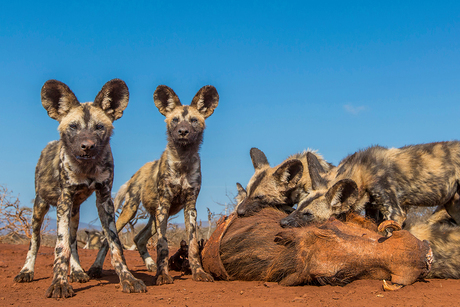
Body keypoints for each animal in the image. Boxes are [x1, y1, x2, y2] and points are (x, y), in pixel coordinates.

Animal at [13, 79, 146, 298]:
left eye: (99, 127)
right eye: (73, 127)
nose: (87, 146)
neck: (87, 168)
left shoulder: (104, 200)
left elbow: (115, 245)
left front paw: (128, 279)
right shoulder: (64, 200)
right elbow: (60, 247)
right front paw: (59, 283)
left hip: (75, 214)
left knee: (74, 241)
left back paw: (77, 271)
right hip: (39, 208)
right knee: (35, 241)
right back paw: (26, 271)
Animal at [90, 85, 220, 286]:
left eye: (193, 120)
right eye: (175, 120)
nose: (183, 131)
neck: (182, 161)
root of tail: (137, 172)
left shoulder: (190, 207)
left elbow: (192, 245)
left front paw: (198, 272)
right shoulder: (164, 204)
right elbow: (163, 245)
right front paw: (163, 276)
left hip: (155, 217)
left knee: (138, 238)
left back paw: (150, 264)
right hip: (133, 210)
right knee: (107, 239)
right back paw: (95, 269)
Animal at [280, 143, 460, 235]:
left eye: (308, 214)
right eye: (299, 207)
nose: (282, 222)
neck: (362, 172)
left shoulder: (395, 213)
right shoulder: (372, 209)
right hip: (453, 206)